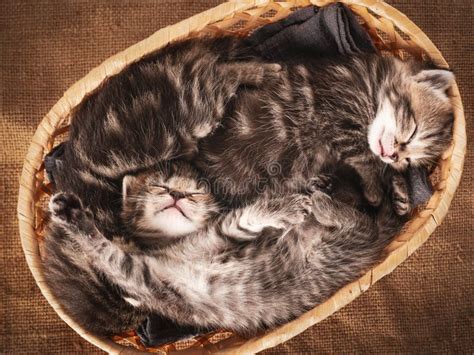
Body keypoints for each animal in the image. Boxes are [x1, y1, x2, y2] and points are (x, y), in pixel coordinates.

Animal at [42, 161, 410, 340]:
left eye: (195, 194)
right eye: (160, 186)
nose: (177, 194)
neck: (166, 245)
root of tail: (377, 242)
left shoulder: (215, 237)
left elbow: (240, 220)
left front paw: (282, 208)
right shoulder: (150, 280)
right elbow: (108, 253)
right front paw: (72, 218)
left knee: (369, 212)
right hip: (344, 245)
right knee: (363, 220)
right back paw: (326, 200)